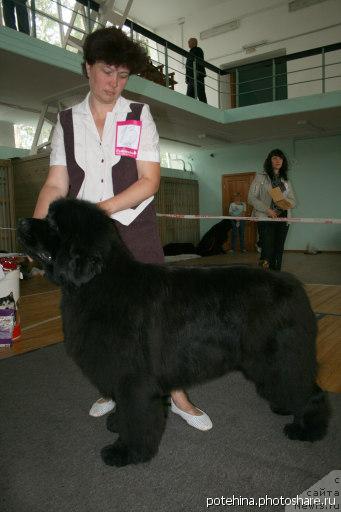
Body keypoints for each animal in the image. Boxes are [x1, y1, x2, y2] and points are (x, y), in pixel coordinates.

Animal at [17, 199, 330, 468]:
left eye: (53, 224)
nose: (21, 221)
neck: (99, 284)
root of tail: (294, 285)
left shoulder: (133, 377)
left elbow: (136, 416)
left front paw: (126, 452)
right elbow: (123, 408)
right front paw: (116, 423)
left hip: (277, 357)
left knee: (309, 391)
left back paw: (307, 429)